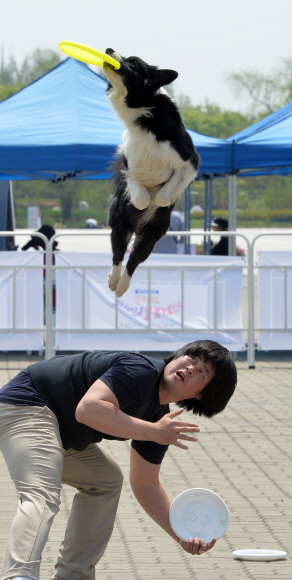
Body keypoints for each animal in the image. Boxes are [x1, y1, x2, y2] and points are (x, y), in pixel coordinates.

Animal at [103, 48, 201, 296]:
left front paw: (157, 200)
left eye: (133, 63)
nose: (108, 49)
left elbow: (165, 195)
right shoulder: (127, 163)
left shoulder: (190, 162)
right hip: (119, 223)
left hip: (152, 235)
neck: (144, 112)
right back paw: (113, 280)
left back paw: (123, 285)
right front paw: (144, 200)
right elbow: (138, 192)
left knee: (134, 260)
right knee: (119, 254)